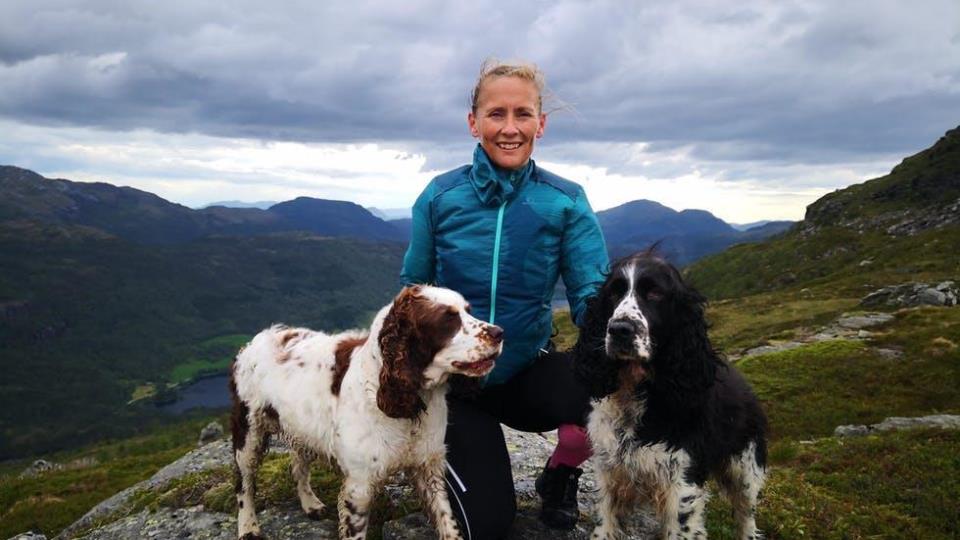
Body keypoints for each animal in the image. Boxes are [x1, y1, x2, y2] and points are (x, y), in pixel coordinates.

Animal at [230, 285, 502, 540]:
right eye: (447, 318)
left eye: (468, 310)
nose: (500, 333)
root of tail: (259, 338)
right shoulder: (359, 485)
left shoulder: (429, 466)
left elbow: (447, 521)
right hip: (249, 433)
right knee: (244, 484)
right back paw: (248, 527)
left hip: (303, 429)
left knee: (298, 465)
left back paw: (310, 504)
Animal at [575, 251, 767, 539]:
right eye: (614, 293)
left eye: (655, 293)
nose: (619, 329)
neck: (638, 394)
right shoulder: (609, 472)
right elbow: (604, 524)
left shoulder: (681, 485)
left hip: (745, 470)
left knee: (747, 519)